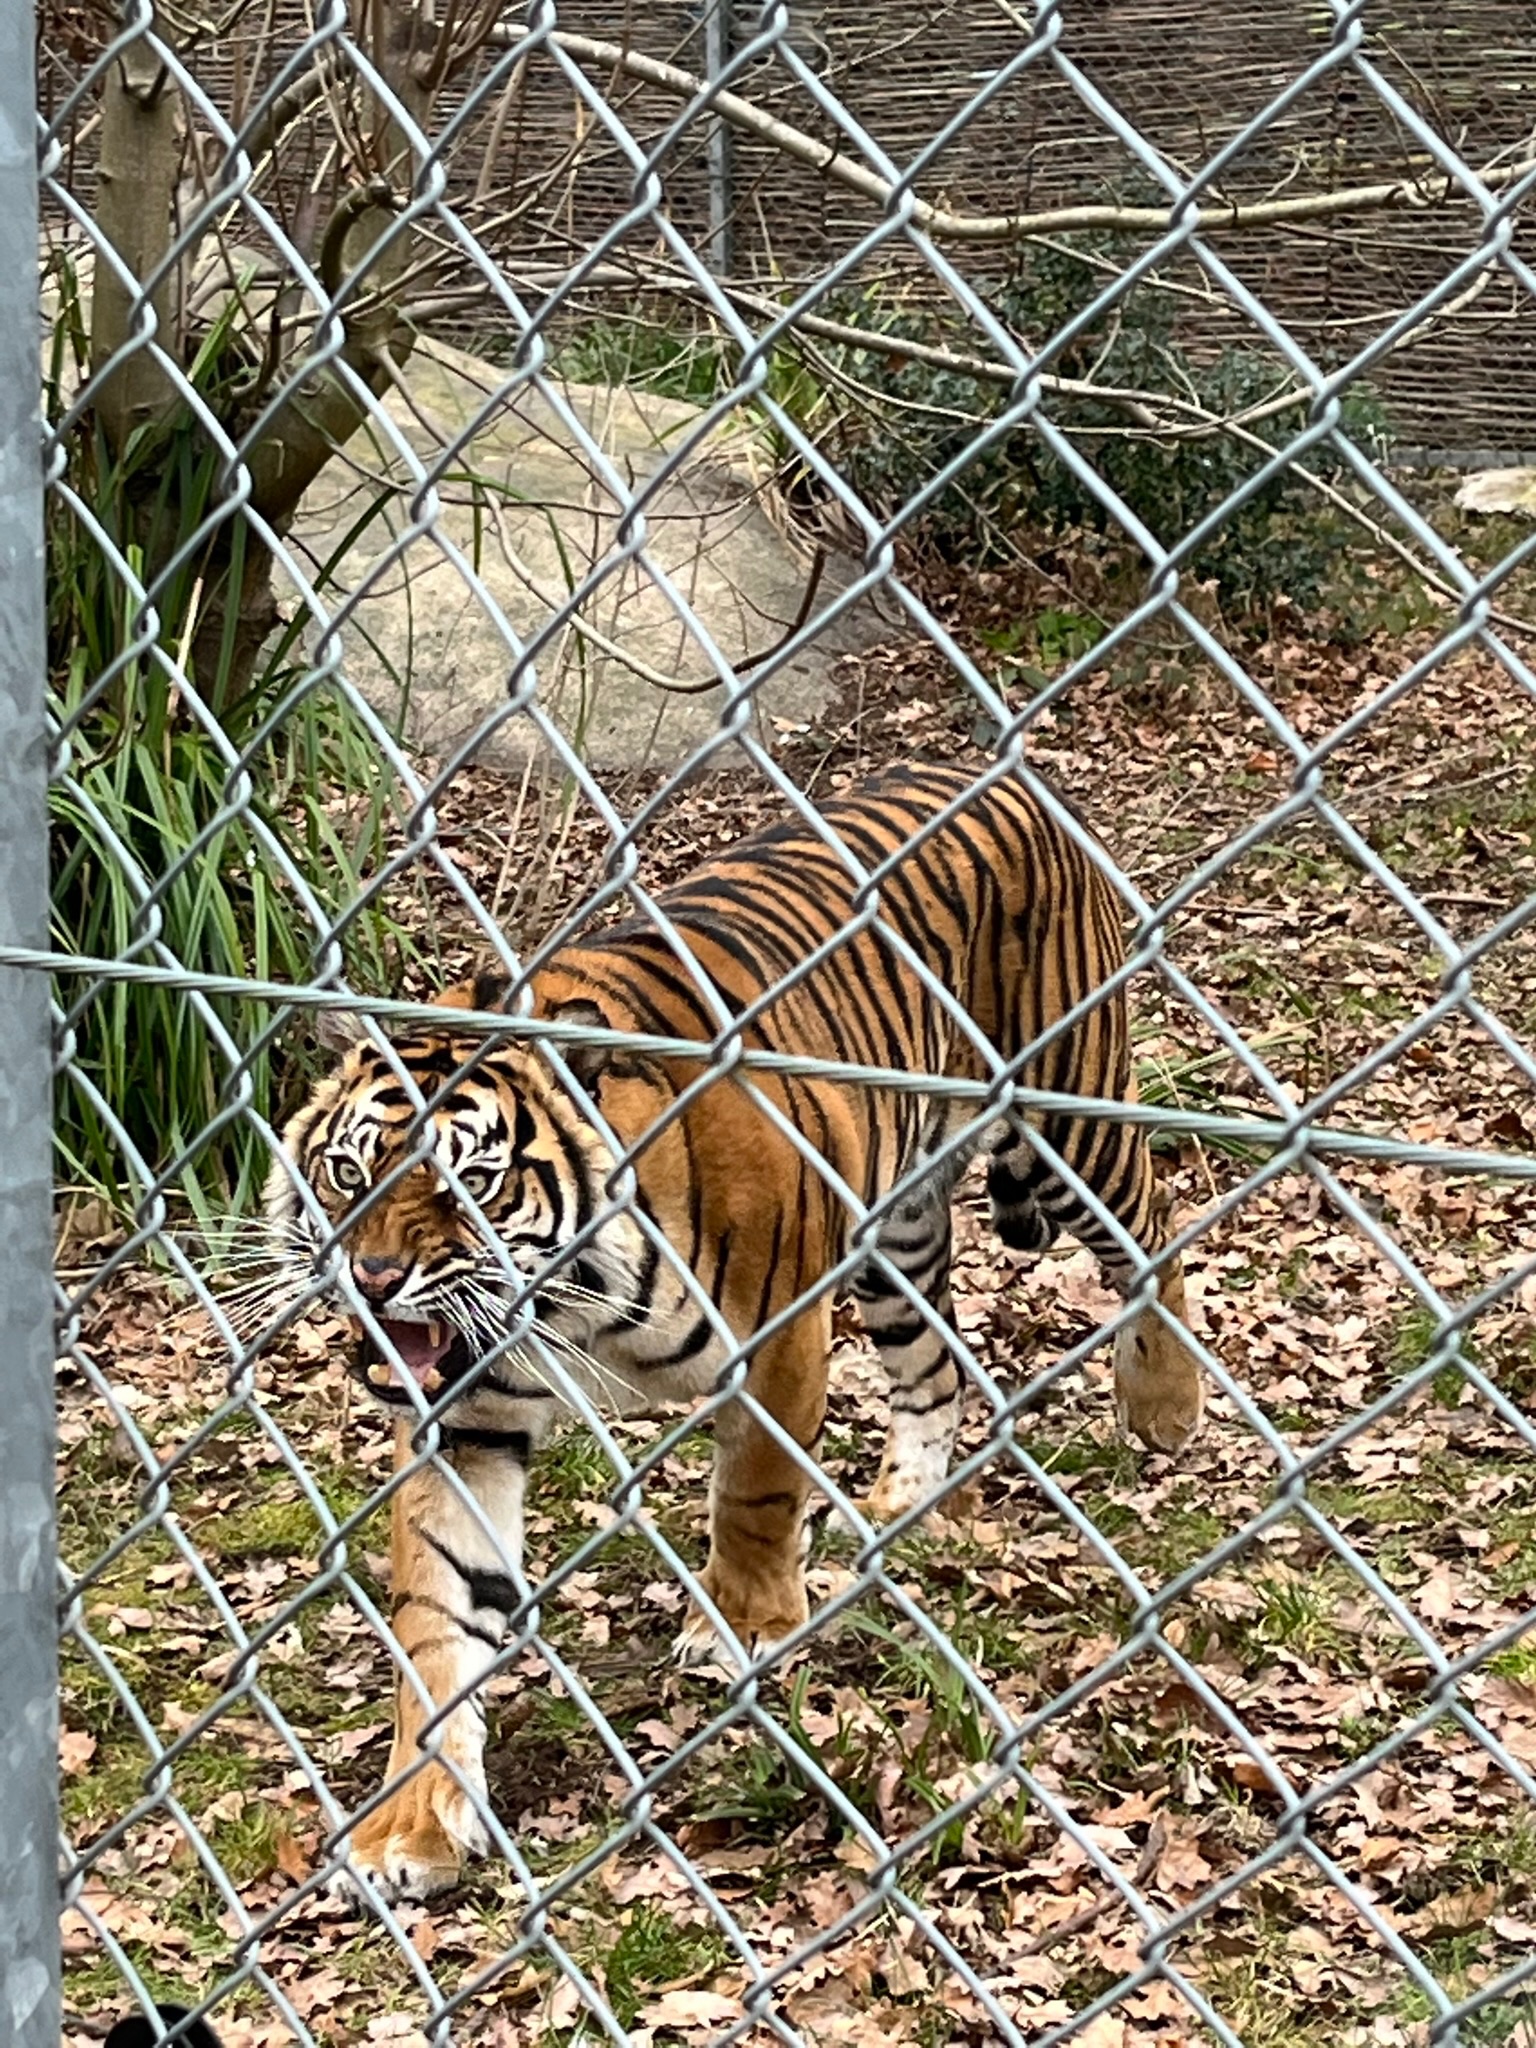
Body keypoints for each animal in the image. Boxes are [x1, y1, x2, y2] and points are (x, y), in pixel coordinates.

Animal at [264, 760, 1204, 1902]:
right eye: (345, 1173)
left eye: (467, 1186)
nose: (373, 1278)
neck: (569, 1304)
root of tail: (991, 771)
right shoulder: (467, 1416)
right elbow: (438, 1615)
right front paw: (410, 1824)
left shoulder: (778, 1338)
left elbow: (755, 1490)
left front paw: (745, 1627)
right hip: (895, 1233)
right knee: (933, 1366)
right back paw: (901, 1500)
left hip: (1070, 1117)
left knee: (1155, 1229)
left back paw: (1165, 1404)